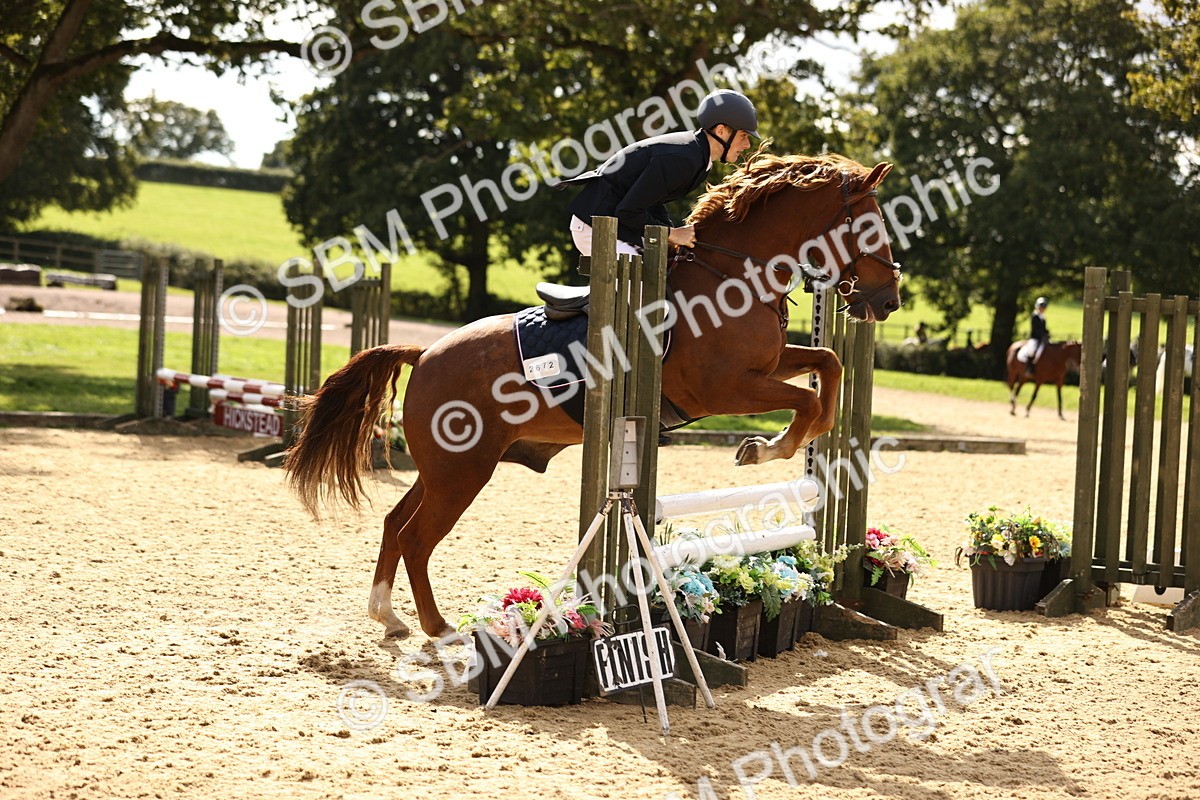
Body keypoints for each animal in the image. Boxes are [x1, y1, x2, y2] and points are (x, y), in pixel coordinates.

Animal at [285, 153, 903, 639]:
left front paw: (792, 442)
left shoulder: (767, 367)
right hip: (464, 471)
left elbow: (829, 366)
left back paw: (387, 616)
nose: (889, 300)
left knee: (395, 523)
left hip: (444, 469)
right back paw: (439, 629)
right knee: (416, 538)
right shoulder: (724, 388)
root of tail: (425, 353)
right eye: (871, 225)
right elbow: (805, 400)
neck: (735, 275)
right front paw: (767, 448)